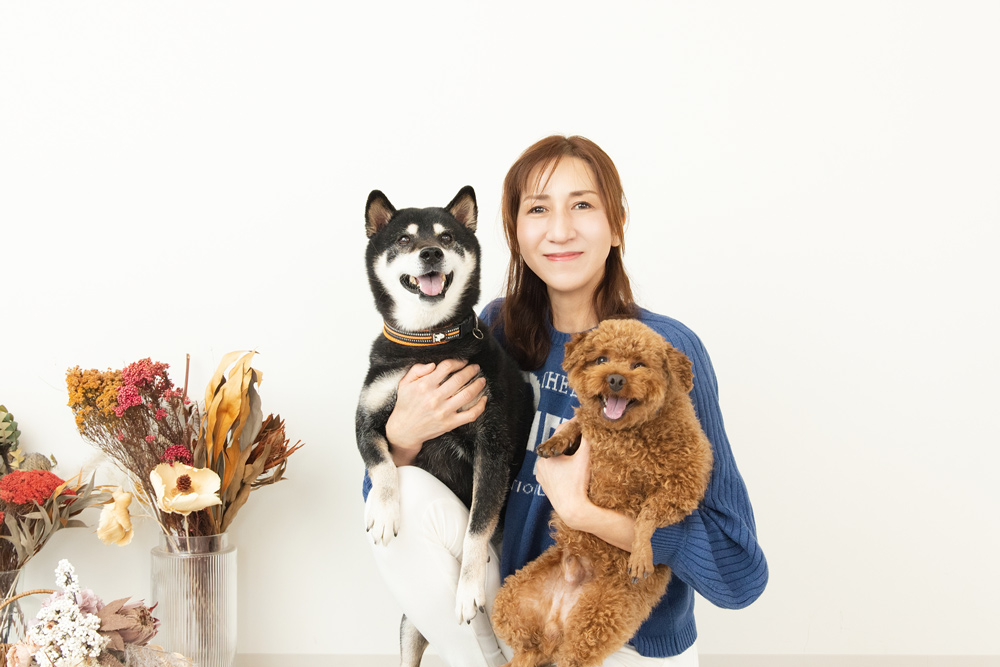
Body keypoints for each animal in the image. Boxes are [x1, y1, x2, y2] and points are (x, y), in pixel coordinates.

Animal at [357, 186, 533, 666]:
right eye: (403, 240)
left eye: (447, 236)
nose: (431, 253)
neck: (427, 344)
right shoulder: (367, 419)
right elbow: (382, 466)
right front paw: (384, 512)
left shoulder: (492, 448)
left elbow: (476, 529)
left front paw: (469, 588)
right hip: (408, 630)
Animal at [492, 319, 714, 667]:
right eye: (601, 359)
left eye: (639, 365)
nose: (615, 378)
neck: (622, 434)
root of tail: (554, 631)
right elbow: (578, 421)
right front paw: (554, 442)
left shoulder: (684, 483)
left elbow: (648, 514)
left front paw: (640, 552)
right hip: (512, 600)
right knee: (527, 647)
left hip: (599, 618)